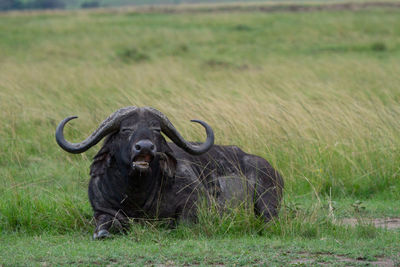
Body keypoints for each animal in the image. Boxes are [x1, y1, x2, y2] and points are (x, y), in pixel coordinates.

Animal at [54, 107, 282, 241]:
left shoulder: (195, 203)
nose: (145, 147)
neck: (137, 194)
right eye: (126, 129)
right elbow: (105, 226)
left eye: (156, 129)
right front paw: (103, 232)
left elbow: (182, 223)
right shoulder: (102, 209)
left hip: (266, 203)